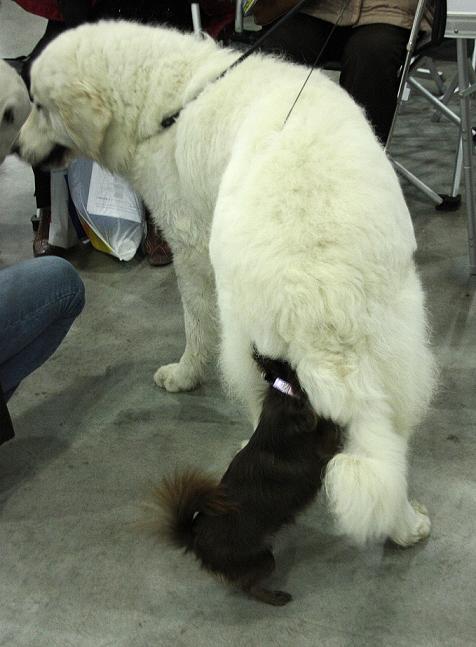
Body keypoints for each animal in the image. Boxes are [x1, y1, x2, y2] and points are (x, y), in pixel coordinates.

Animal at [17, 20, 436, 548]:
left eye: (39, 106)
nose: (14, 148)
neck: (163, 98)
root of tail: (322, 295)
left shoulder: (190, 249)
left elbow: (195, 325)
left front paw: (183, 374)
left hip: (250, 346)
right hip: (398, 349)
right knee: (386, 450)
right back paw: (407, 527)